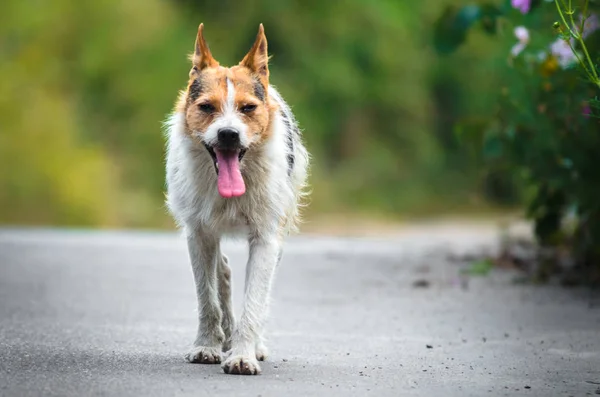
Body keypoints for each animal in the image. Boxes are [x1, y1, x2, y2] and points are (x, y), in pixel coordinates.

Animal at [163, 22, 308, 374]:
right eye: (206, 107)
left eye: (248, 108)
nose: (228, 134)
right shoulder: (198, 235)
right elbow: (207, 298)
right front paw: (207, 345)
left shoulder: (266, 238)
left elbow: (254, 300)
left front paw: (243, 354)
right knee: (223, 273)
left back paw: (252, 345)